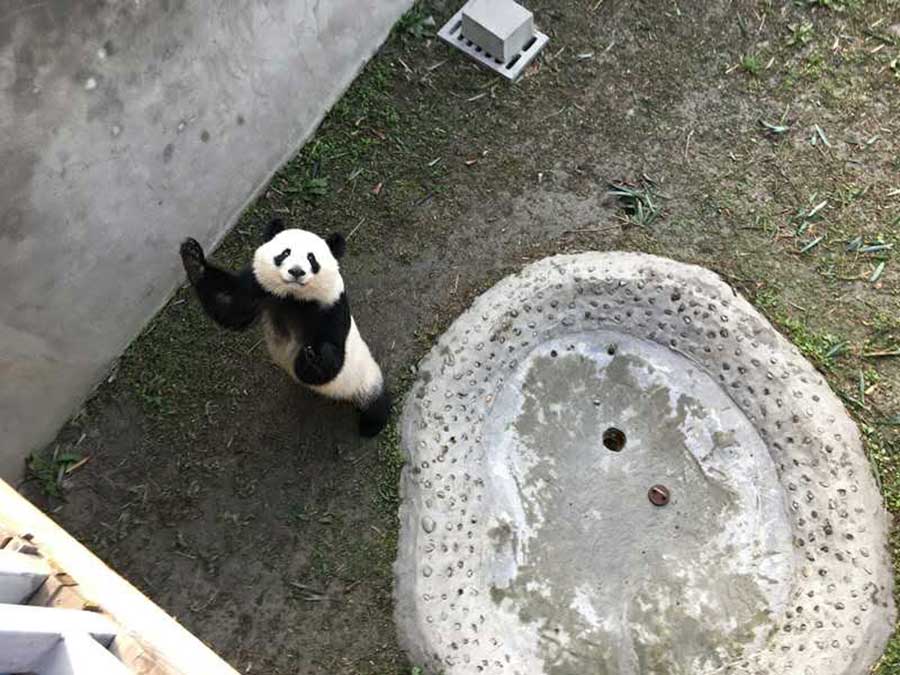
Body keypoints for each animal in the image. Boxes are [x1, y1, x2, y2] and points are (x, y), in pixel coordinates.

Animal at [179, 218, 390, 438]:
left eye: (311, 258)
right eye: (285, 253)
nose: (296, 272)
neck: (293, 297)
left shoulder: (331, 308)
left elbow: (333, 360)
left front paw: (315, 356)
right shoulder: (259, 286)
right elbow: (231, 306)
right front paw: (194, 258)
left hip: (366, 379)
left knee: (375, 402)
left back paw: (370, 426)